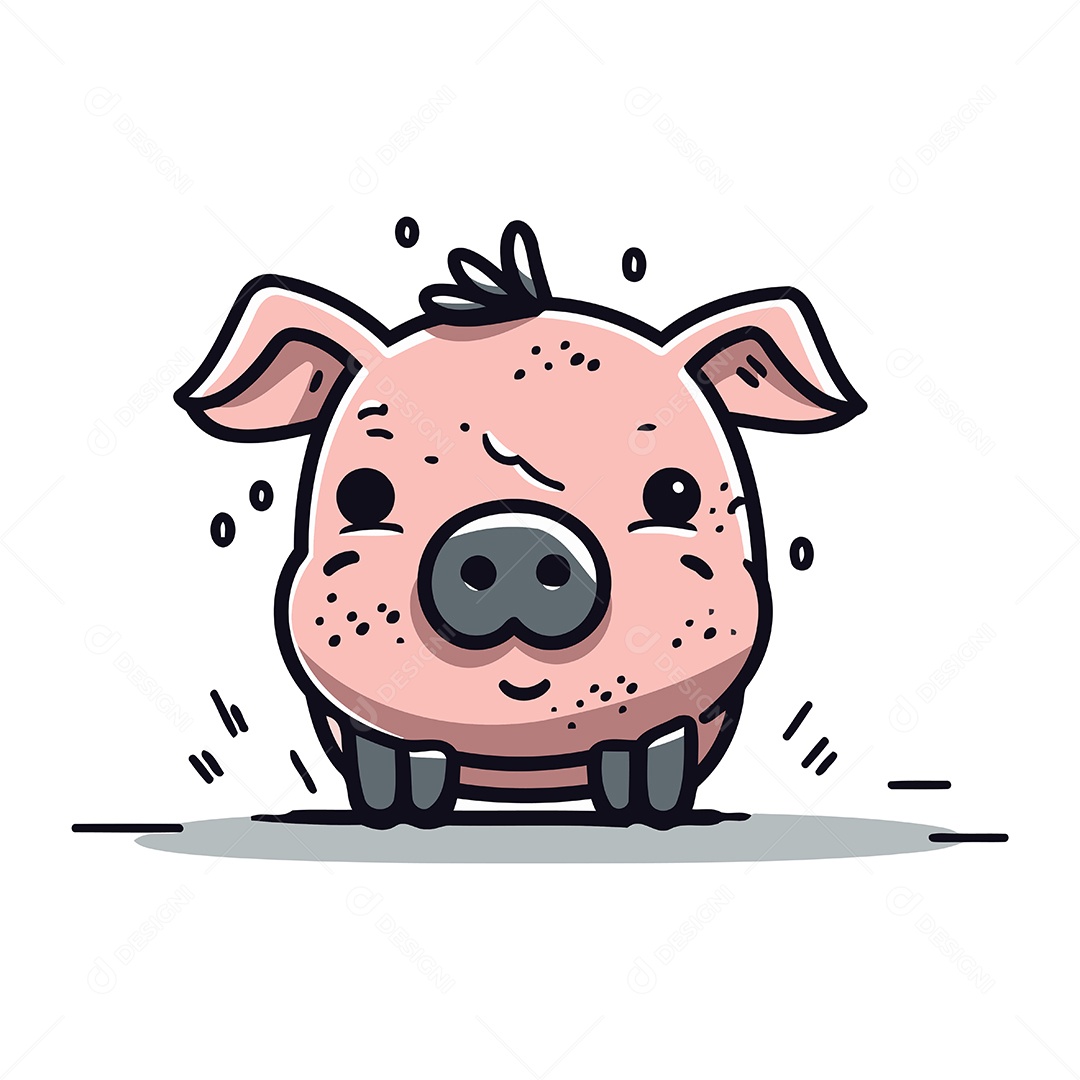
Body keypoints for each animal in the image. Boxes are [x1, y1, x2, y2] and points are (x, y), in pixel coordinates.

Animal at [175, 221, 864, 825]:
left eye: (674, 493)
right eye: (362, 494)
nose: (513, 545)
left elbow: (656, 749)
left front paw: (647, 803)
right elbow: (389, 751)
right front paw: (398, 806)